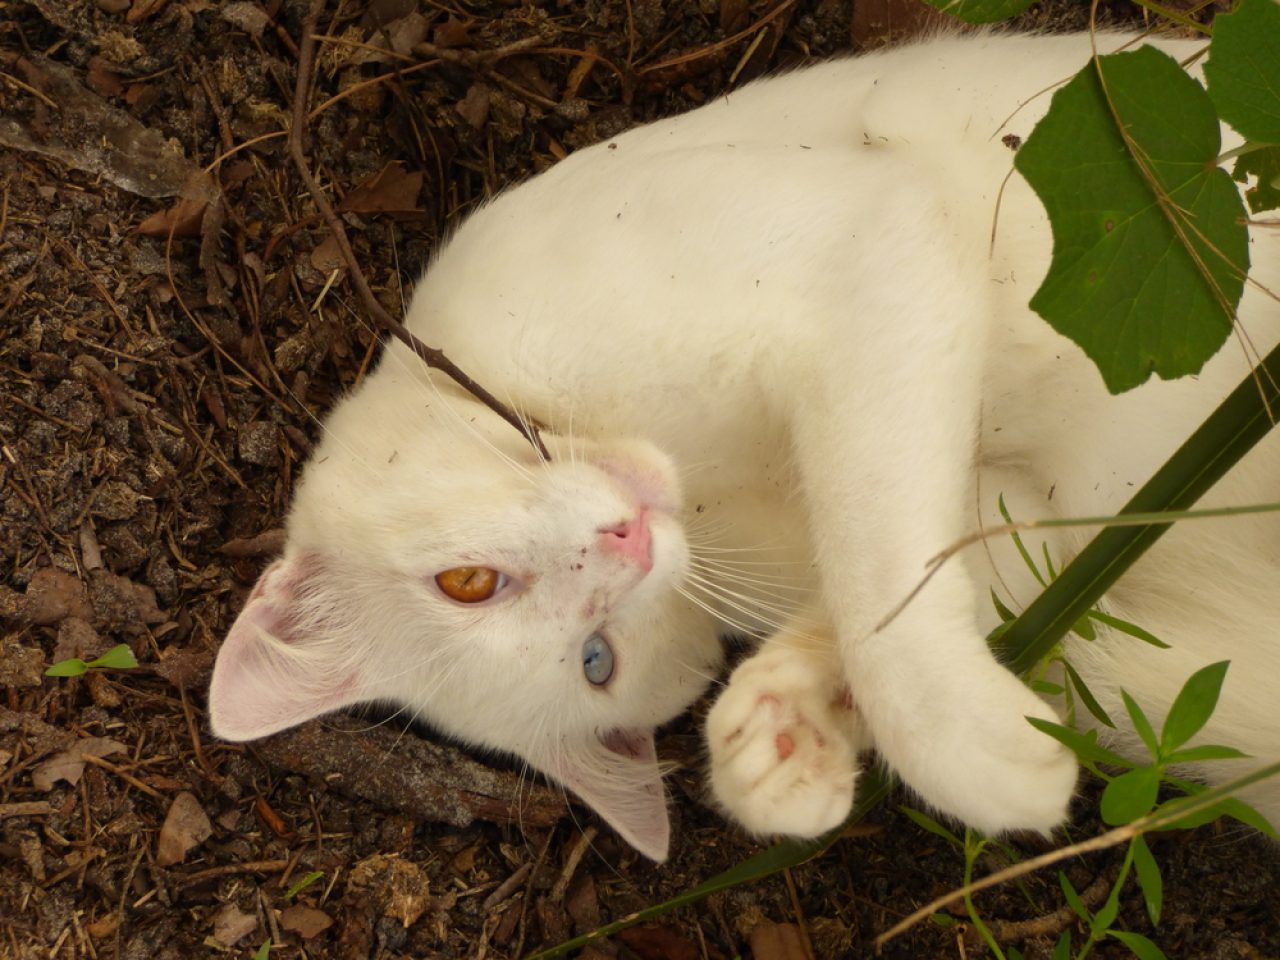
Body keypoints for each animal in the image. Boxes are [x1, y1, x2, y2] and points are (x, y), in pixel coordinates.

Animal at [204, 33, 1274, 865]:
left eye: (465, 583)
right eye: (598, 661)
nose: (630, 541)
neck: (700, 479)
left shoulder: (866, 234)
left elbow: (881, 569)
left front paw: (971, 754)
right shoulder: (1031, 531)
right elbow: (923, 580)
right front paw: (777, 744)